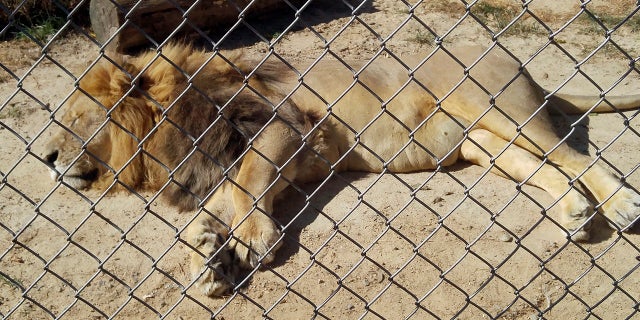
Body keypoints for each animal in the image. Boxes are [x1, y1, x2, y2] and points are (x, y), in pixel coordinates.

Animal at [43, 42, 640, 296]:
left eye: (70, 117)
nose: (44, 159)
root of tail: (510, 56)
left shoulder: (282, 128)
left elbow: (245, 189)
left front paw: (252, 240)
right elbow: (214, 208)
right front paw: (205, 259)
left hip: (495, 106)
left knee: (579, 157)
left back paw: (621, 205)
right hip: (485, 142)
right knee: (551, 170)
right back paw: (575, 211)